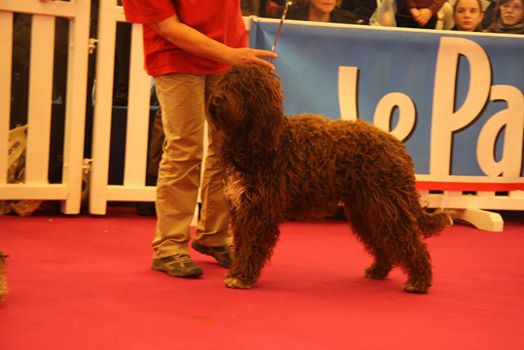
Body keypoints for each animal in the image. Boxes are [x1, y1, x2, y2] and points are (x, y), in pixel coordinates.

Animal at [207, 63, 448, 292]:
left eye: (243, 87)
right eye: (225, 82)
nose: (217, 98)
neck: (259, 144)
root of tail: (397, 145)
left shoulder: (260, 210)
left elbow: (252, 245)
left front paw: (242, 277)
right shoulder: (241, 209)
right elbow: (242, 244)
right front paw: (236, 272)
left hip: (388, 207)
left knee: (409, 241)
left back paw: (419, 281)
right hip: (365, 210)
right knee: (382, 240)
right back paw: (378, 270)